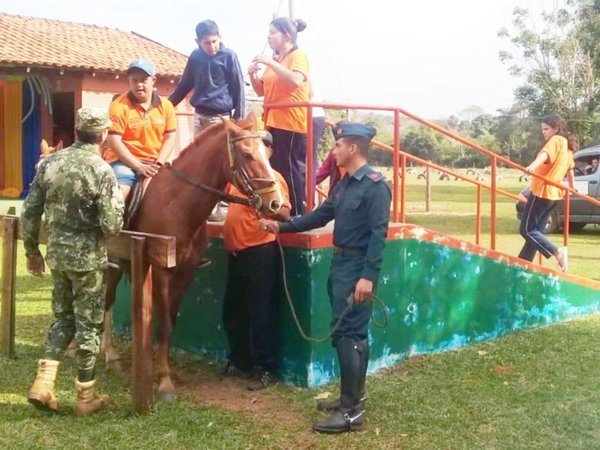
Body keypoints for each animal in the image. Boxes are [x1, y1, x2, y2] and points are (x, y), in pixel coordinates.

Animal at [102, 115, 284, 400]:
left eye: (266, 154)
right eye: (246, 154)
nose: (275, 203)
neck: (177, 203)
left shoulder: (185, 272)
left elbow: (171, 321)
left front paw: (166, 372)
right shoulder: (162, 271)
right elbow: (163, 323)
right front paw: (164, 382)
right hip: (112, 262)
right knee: (104, 298)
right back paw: (106, 355)